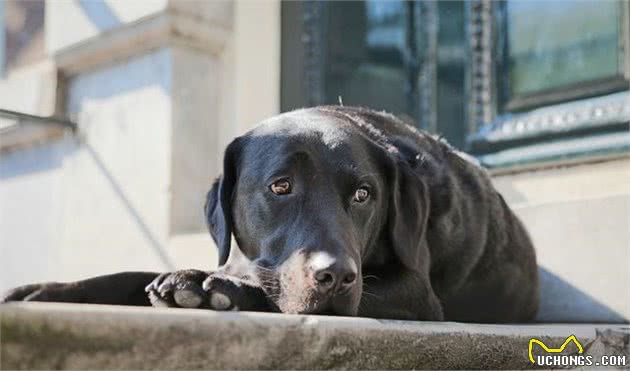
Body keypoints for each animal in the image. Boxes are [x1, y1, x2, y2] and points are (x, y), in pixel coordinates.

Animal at [2, 107, 540, 322]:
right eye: (280, 186)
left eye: (364, 195)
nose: (336, 276)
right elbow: (129, 275)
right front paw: (44, 290)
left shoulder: (415, 292)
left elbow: (266, 291)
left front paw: (209, 289)